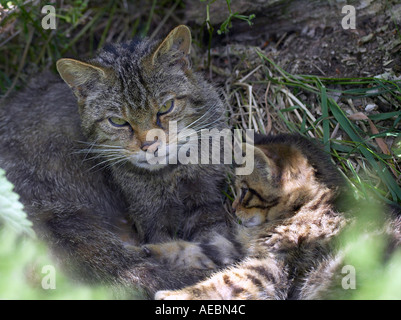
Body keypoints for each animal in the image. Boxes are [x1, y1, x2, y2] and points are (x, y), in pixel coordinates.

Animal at [0, 25, 238, 298]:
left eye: (166, 107)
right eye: (118, 122)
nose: (150, 146)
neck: (171, 173)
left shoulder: (205, 195)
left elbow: (213, 233)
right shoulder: (150, 216)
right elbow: (166, 250)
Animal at [155, 134, 348, 298]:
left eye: (245, 191)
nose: (233, 209)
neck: (300, 208)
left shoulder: (273, 265)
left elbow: (225, 281)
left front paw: (176, 295)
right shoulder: (241, 246)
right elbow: (196, 248)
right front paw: (150, 251)